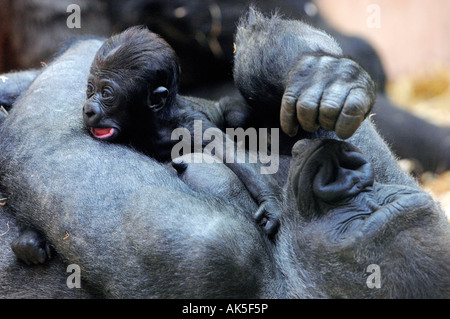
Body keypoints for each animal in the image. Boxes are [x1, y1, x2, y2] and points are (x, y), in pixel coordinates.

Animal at [0, 10, 448, 300]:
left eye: (359, 216)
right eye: (368, 196)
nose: (347, 175)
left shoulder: (210, 252)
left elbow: (54, 142)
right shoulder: (393, 175)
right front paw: (326, 75)